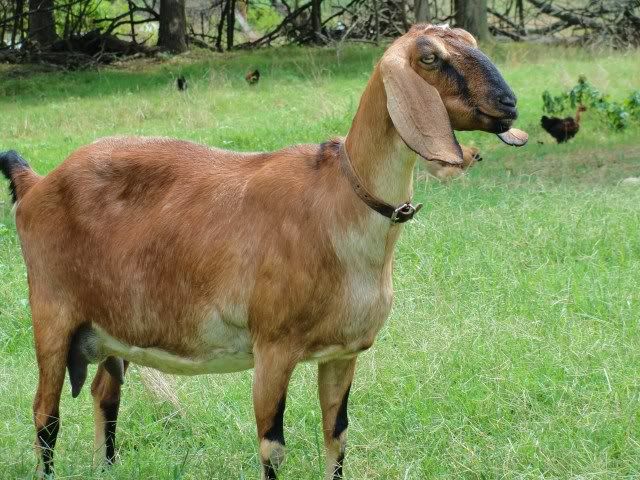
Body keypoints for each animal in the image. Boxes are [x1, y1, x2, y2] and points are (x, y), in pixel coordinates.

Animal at [1, 24, 527, 480]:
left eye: (472, 41)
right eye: (430, 57)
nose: (510, 103)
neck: (339, 200)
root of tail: (34, 184)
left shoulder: (342, 353)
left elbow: (337, 436)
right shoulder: (273, 347)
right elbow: (272, 445)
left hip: (114, 328)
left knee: (104, 393)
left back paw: (107, 467)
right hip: (52, 312)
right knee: (45, 415)